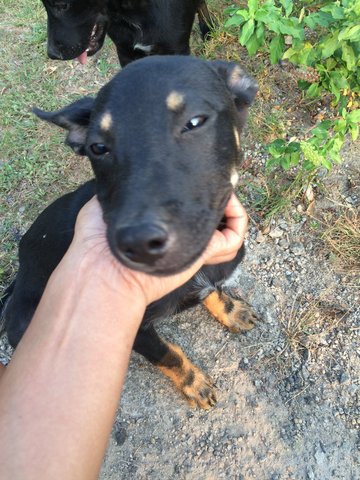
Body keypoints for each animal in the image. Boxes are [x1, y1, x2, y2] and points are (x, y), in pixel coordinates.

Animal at [1, 56, 258, 408]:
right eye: (98, 147)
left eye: (195, 122)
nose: (138, 243)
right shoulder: (135, 330)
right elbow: (167, 355)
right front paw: (194, 384)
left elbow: (213, 291)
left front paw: (231, 310)